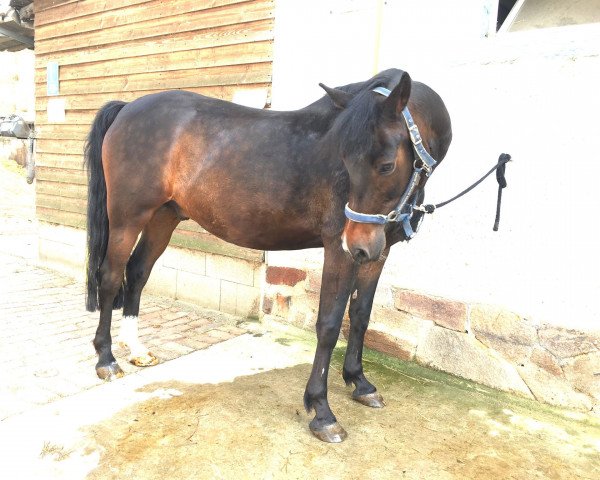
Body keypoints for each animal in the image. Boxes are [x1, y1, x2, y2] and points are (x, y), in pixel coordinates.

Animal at [83, 68, 450, 442]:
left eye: (387, 165)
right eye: (347, 161)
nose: (356, 244)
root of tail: (127, 109)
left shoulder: (378, 252)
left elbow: (361, 315)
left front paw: (360, 383)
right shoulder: (338, 250)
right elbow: (330, 325)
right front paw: (321, 411)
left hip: (163, 216)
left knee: (137, 273)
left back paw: (137, 350)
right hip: (128, 217)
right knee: (110, 277)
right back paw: (106, 360)